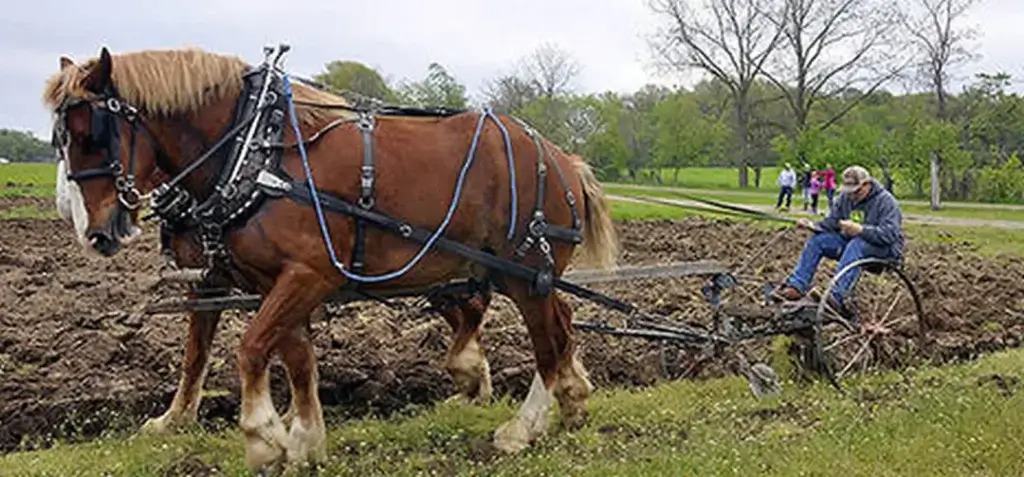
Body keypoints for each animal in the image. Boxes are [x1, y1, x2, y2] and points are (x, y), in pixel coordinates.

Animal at [44, 45, 618, 472]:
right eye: (58, 140)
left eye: (90, 135)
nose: (95, 233)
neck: (255, 151)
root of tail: (562, 158)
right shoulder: (275, 280)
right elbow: (292, 358)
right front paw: (302, 439)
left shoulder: (306, 273)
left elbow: (252, 349)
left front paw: (263, 439)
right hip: (510, 272)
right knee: (563, 323)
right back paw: (573, 399)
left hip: (524, 272)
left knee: (547, 342)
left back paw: (523, 427)